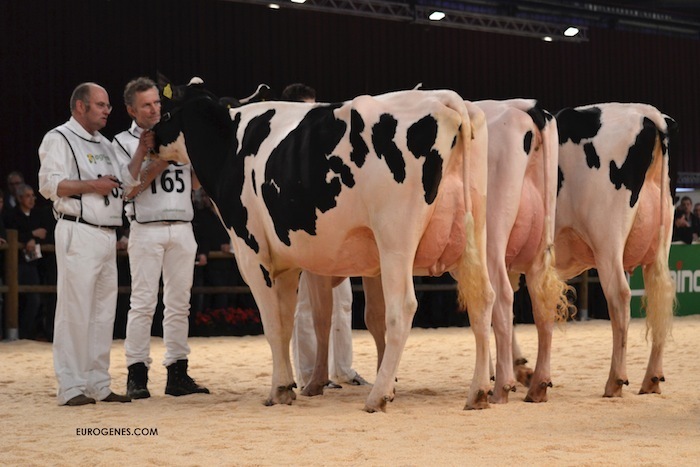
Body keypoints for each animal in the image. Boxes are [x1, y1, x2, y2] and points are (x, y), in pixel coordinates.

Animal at [152, 79, 495, 412]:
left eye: (164, 112)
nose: (151, 142)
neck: (229, 145)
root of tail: (445, 98)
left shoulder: (252, 253)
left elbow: (272, 324)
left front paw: (278, 390)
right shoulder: (288, 263)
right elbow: (287, 323)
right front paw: (288, 387)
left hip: (395, 239)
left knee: (402, 308)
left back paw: (378, 396)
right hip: (474, 232)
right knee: (483, 299)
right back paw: (478, 392)